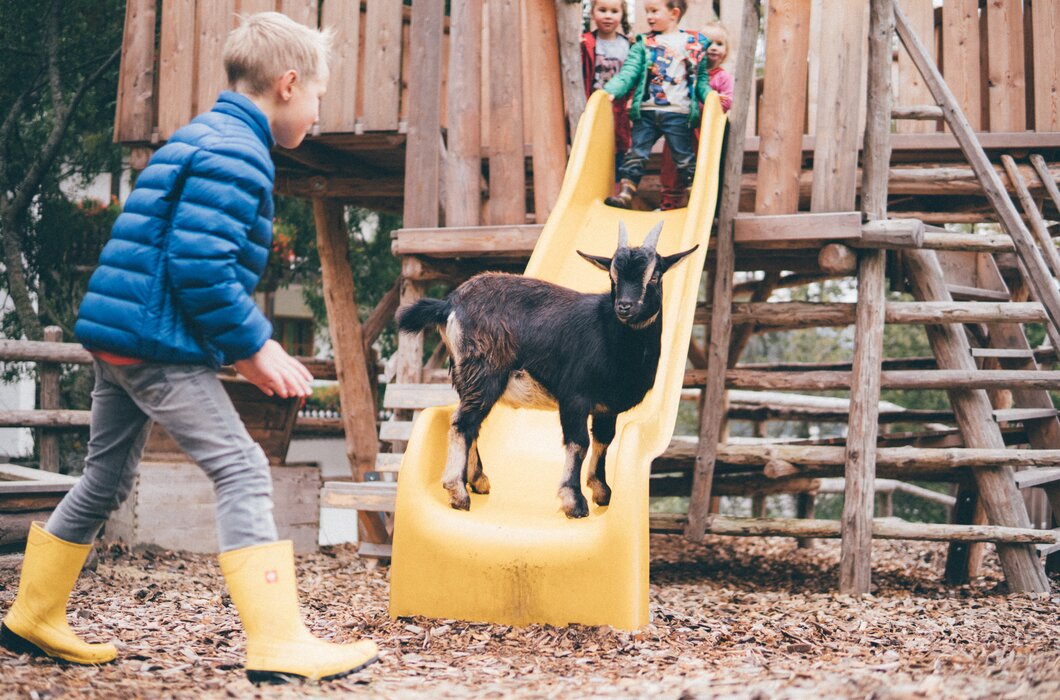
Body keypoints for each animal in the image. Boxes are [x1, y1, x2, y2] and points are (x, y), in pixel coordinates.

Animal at [398, 221, 695, 517]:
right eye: (612, 277)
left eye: (654, 276)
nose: (624, 306)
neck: (612, 336)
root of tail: (449, 305)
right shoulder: (574, 396)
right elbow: (579, 443)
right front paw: (574, 500)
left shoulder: (606, 407)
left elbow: (604, 441)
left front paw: (602, 491)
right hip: (484, 373)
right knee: (463, 422)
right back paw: (458, 492)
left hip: (466, 376)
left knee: (472, 424)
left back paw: (478, 480)